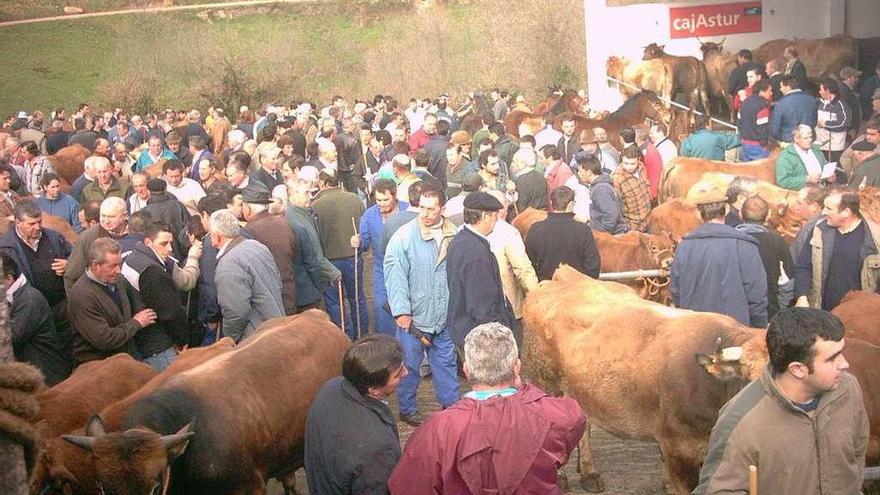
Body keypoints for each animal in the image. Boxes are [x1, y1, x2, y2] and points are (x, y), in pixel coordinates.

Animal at [524, 268, 764, 495]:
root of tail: (566, 276)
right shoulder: (679, 448)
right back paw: (560, 477)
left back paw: (589, 474)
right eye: (748, 377)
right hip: (547, 383)